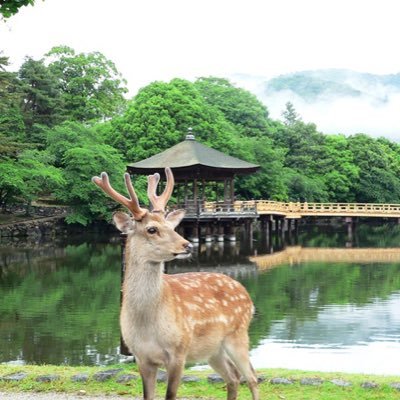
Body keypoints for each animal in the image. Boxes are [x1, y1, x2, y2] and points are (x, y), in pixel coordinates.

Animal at [92, 169, 258, 400]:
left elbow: (170, 395)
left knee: (252, 376)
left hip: (238, 334)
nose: (187, 245)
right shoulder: (141, 357)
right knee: (233, 377)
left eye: (172, 226)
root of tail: (246, 294)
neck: (147, 325)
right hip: (213, 349)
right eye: (152, 229)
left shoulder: (179, 351)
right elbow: (148, 396)